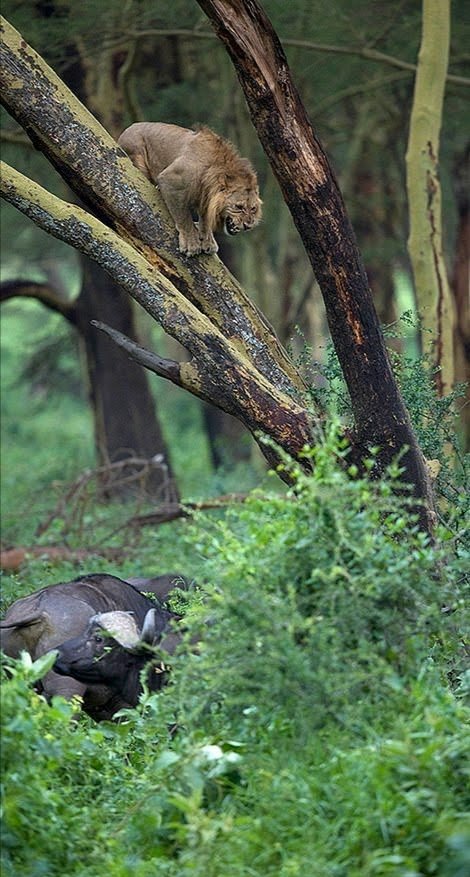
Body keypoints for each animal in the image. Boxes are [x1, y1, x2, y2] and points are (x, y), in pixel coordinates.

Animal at [118, 122, 262, 256]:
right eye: (238, 207)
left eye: (253, 208)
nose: (248, 226)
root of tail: (128, 128)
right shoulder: (170, 180)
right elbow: (183, 217)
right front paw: (191, 243)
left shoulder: (205, 197)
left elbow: (205, 218)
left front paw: (208, 240)